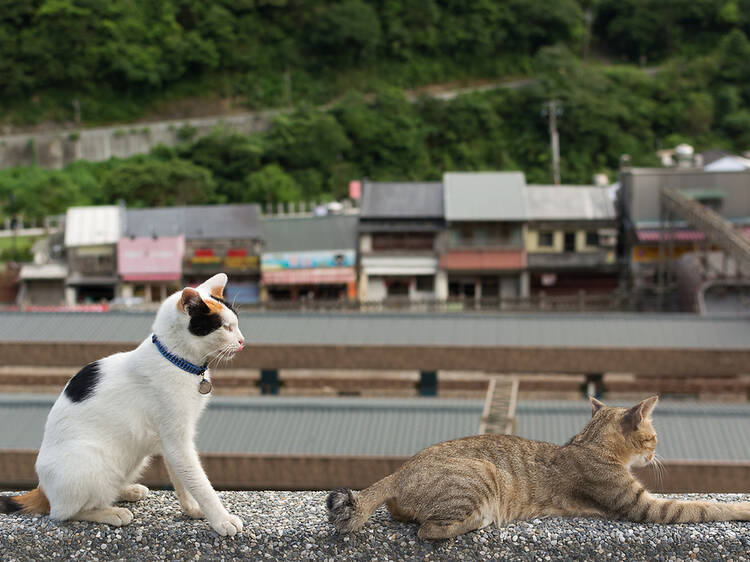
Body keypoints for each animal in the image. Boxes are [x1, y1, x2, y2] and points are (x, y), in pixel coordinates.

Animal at [0, 274, 245, 536]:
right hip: (92, 462)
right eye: (225, 327)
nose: (243, 341)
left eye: (236, 323)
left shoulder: (171, 442)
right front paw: (221, 519)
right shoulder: (177, 440)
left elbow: (181, 479)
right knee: (64, 513)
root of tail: (42, 489)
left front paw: (192, 508)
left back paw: (127, 490)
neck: (178, 361)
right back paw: (112, 512)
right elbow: (199, 481)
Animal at [328, 394, 750, 540]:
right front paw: (742, 508)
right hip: (482, 476)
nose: (656, 451)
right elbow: (702, 506)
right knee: (429, 530)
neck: (590, 443)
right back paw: (479, 520)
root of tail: (399, 471)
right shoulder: (643, 505)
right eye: (653, 437)